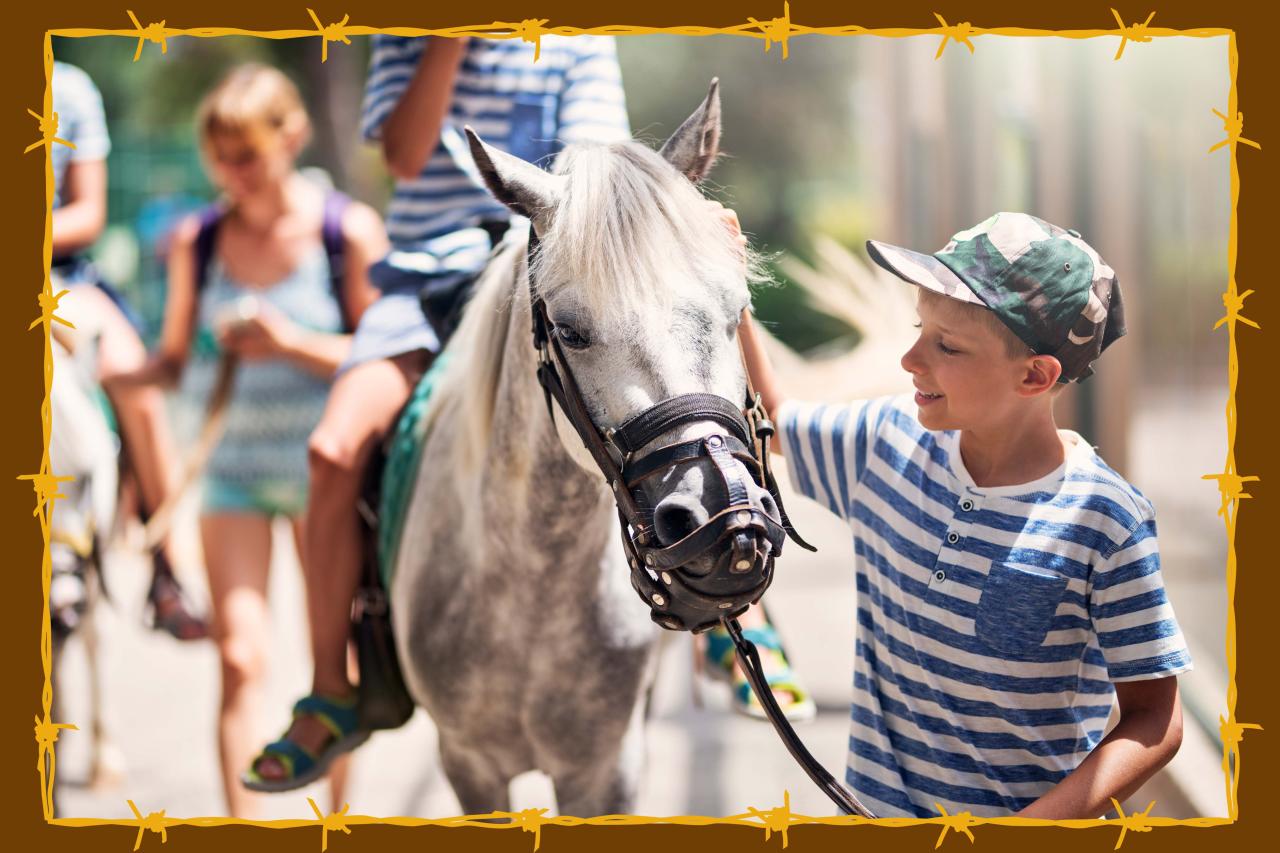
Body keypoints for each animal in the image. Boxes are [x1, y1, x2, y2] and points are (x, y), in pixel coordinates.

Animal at [389, 83, 784, 816]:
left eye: (736, 309)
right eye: (571, 331)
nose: (722, 518)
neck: (530, 590)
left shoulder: (606, 770)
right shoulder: (469, 764)